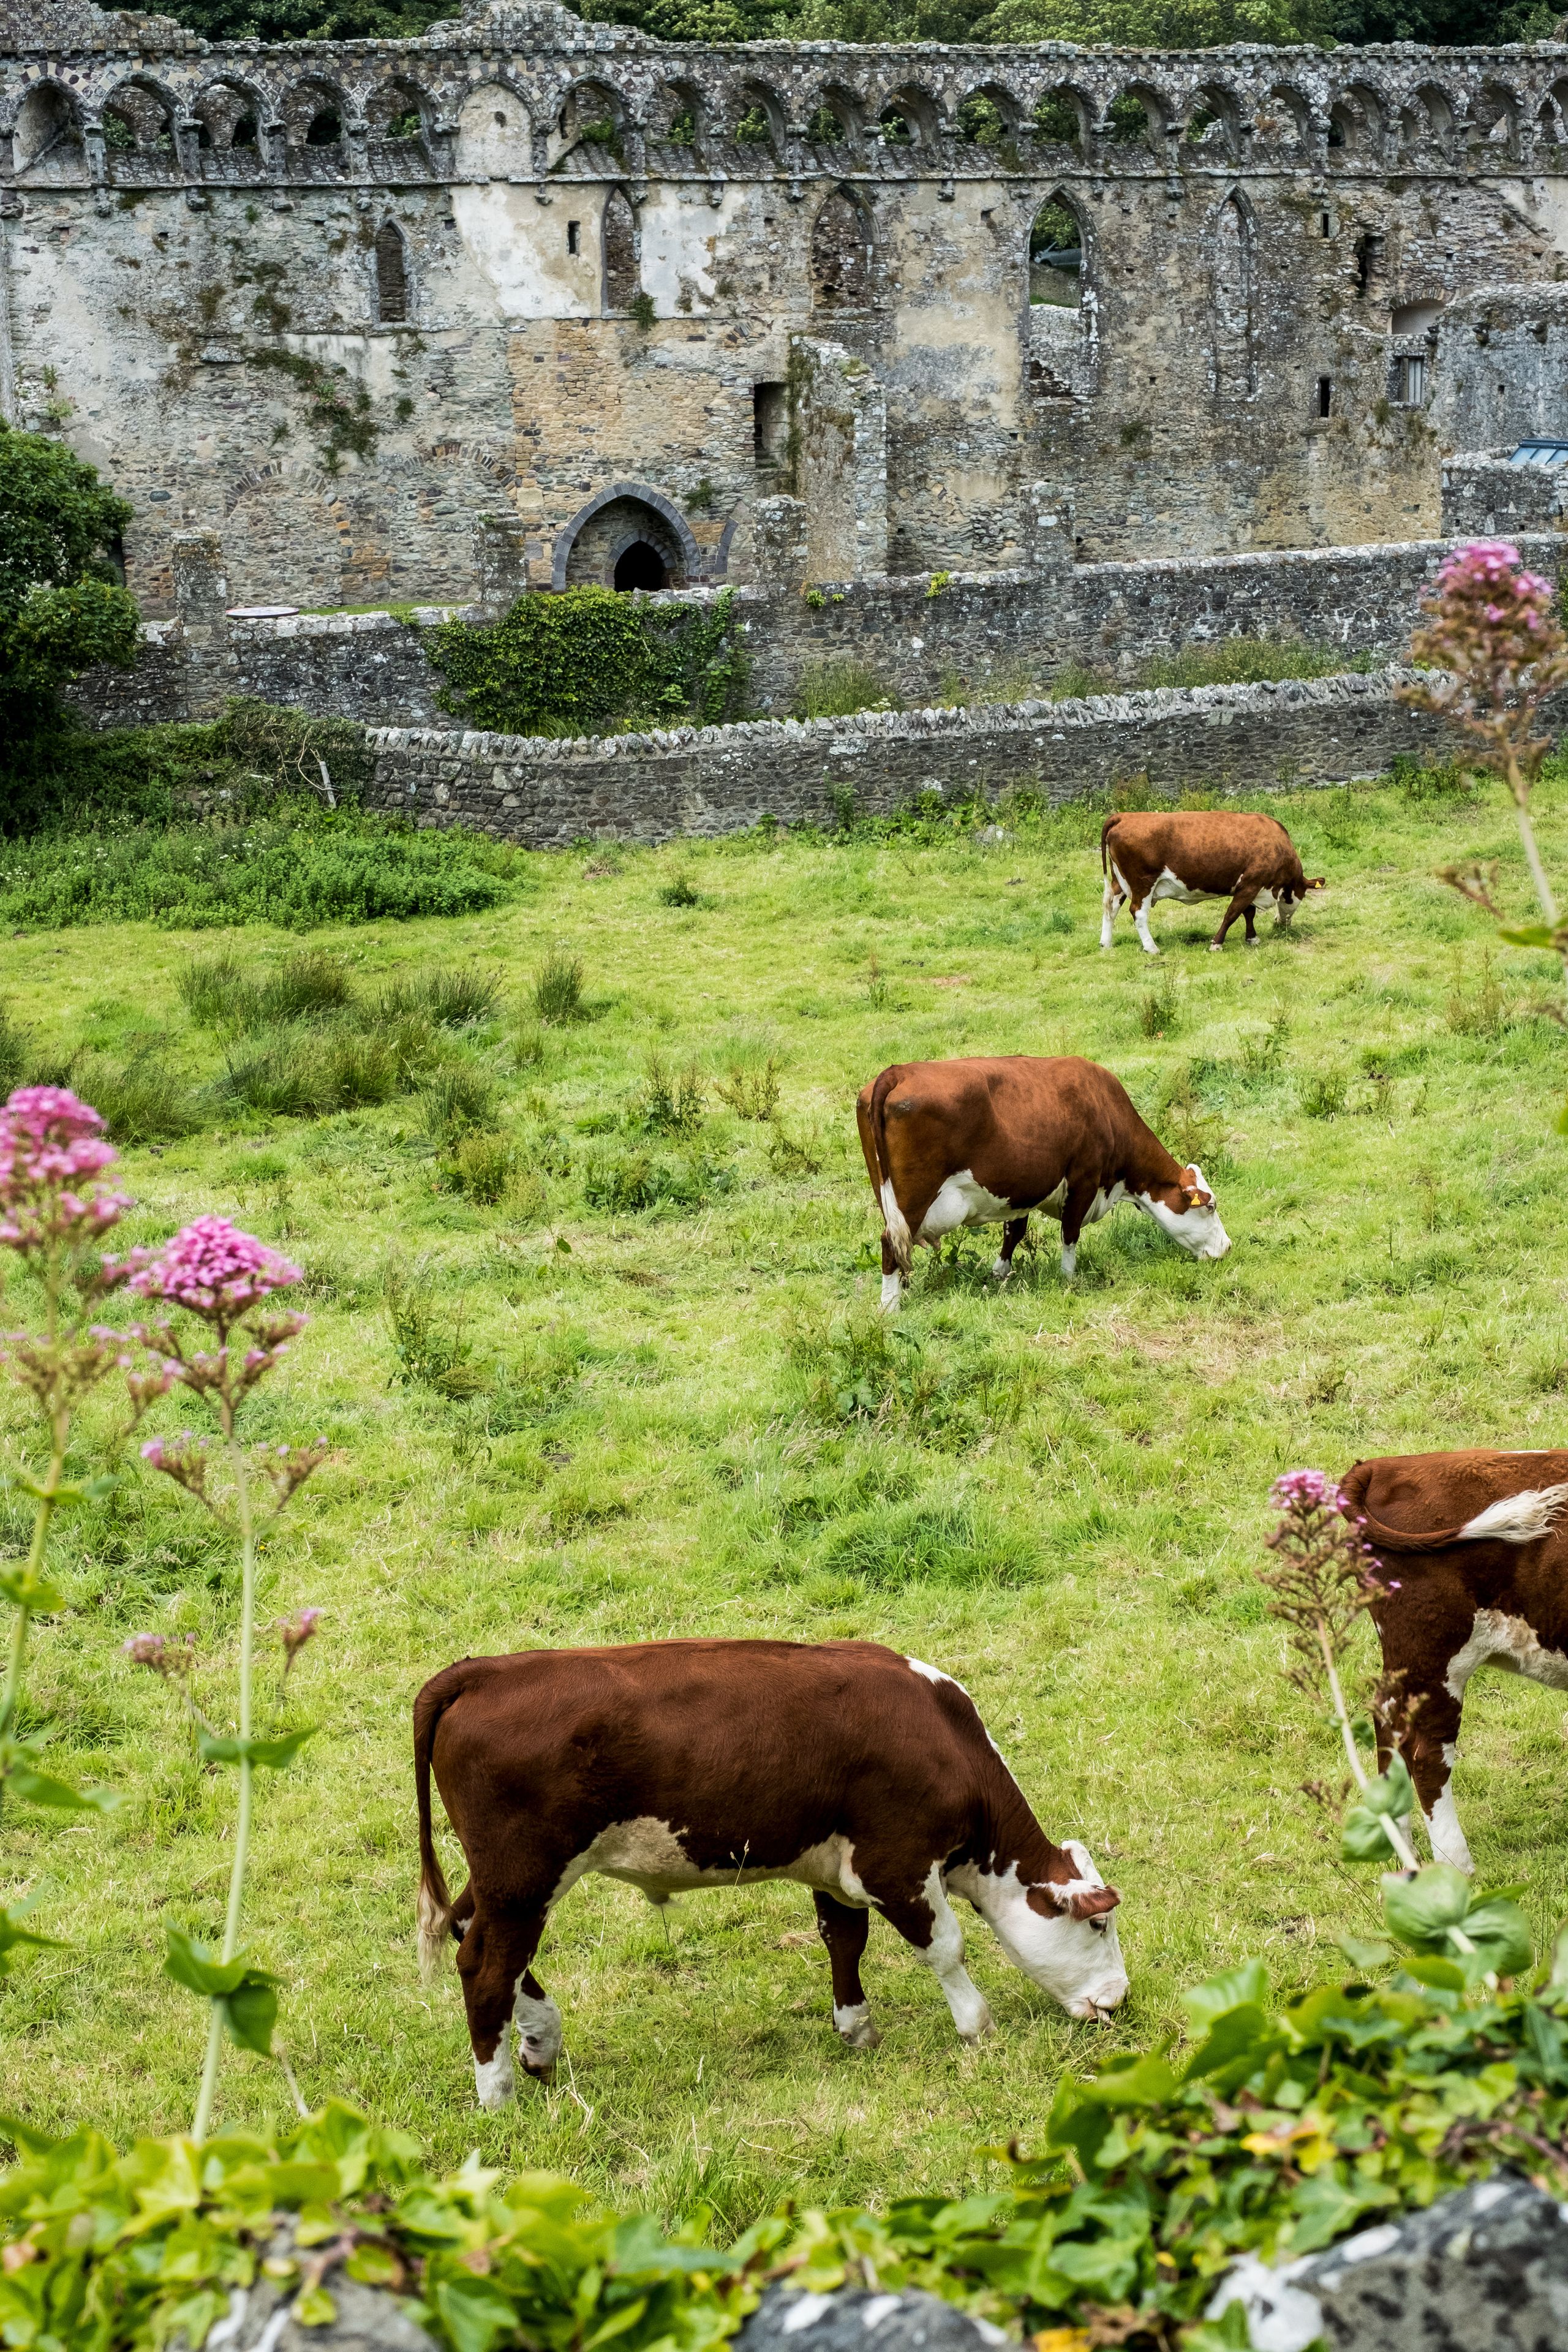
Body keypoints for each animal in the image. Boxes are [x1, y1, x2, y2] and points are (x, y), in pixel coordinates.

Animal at [414, 1637, 1127, 2108]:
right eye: (1099, 1926)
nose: (1118, 1999)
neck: (943, 1740)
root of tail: (482, 1672)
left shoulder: (838, 1869)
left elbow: (844, 1941)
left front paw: (856, 2028)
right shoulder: (894, 1865)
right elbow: (946, 1949)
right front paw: (976, 2027)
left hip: (504, 1879)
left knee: (470, 1932)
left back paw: (541, 2040)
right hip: (525, 1877)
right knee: (486, 1970)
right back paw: (498, 2096)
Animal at [857, 1054, 1229, 1311]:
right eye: (1210, 1206)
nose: (1226, 1248)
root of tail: (898, 1071)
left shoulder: (1022, 1188)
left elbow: (1014, 1232)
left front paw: (999, 1274)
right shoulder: (1083, 1180)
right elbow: (1070, 1233)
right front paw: (1069, 1278)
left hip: (887, 1196)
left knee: (897, 1245)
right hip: (915, 1198)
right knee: (890, 1244)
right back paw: (890, 1307)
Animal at [1100, 811, 1326, 955]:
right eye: (1297, 897)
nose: (1282, 924)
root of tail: (1125, 816)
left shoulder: (1248, 886)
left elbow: (1248, 913)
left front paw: (1252, 938)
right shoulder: (1251, 884)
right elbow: (1232, 914)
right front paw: (1217, 944)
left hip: (1119, 882)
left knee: (1110, 907)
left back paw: (1106, 944)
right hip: (1143, 883)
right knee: (1138, 912)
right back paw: (1152, 948)